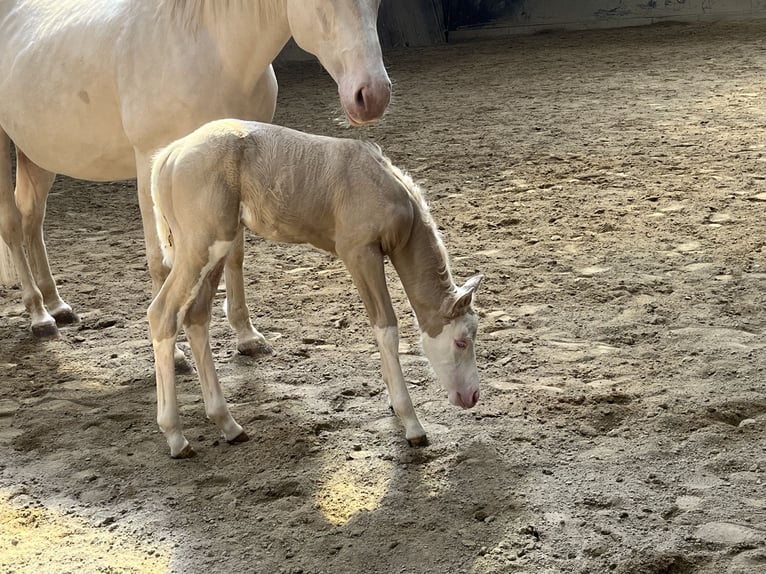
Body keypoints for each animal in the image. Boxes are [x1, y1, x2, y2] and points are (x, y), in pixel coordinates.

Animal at [0, 0, 390, 361]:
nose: (372, 96)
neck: (209, 47)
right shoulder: (151, 163)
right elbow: (160, 261)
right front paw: (174, 354)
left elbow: (235, 254)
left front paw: (246, 337)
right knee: (13, 224)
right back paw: (39, 316)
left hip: (39, 155)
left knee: (33, 220)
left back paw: (57, 305)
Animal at [148, 119, 483, 458]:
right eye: (460, 342)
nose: (472, 396)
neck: (381, 184)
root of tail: (171, 153)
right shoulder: (360, 254)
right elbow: (386, 328)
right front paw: (412, 424)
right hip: (200, 248)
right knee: (163, 314)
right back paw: (176, 437)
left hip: (216, 251)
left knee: (196, 317)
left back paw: (228, 425)